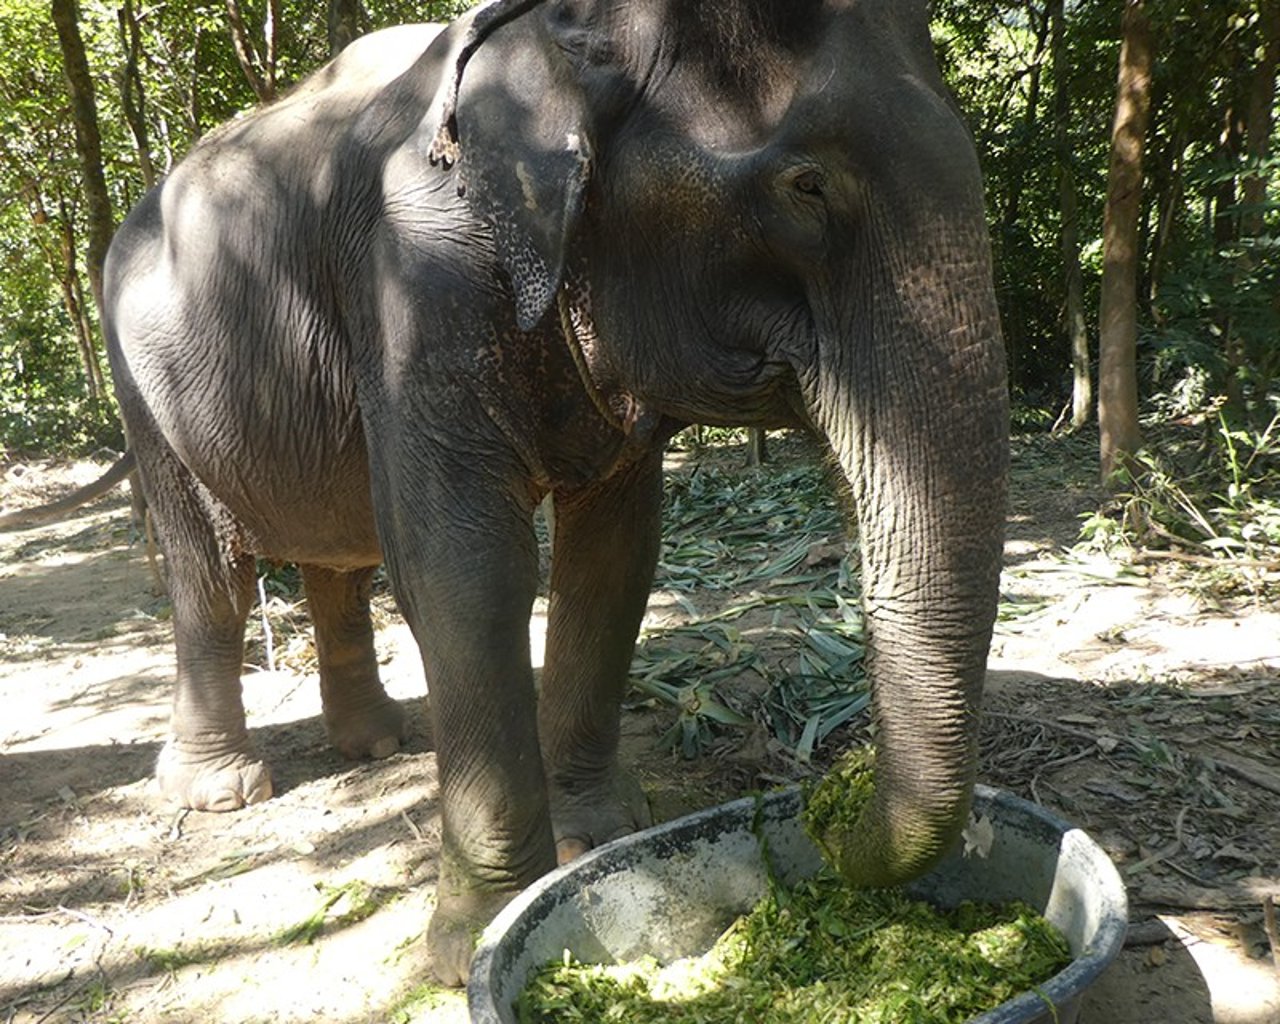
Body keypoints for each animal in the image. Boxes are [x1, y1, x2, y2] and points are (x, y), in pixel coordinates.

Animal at [102, 0, 1008, 983]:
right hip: (143, 393)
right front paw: (477, 943)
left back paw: (378, 743)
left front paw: (600, 842)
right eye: (806, 185)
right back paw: (220, 789)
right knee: (214, 577)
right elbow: (465, 570)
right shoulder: (414, 284)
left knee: (339, 557)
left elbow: (615, 559)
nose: (827, 815)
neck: (557, 33)